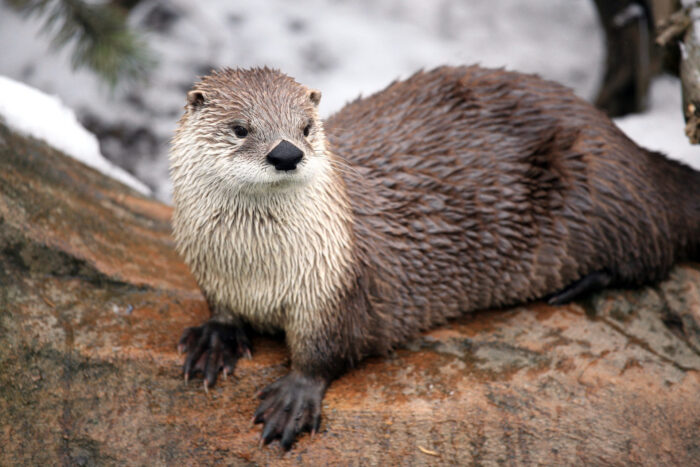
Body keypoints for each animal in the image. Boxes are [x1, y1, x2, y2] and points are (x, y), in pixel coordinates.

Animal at [170, 66, 700, 449]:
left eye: (305, 127)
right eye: (240, 129)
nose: (287, 153)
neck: (255, 270)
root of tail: (628, 146)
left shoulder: (338, 286)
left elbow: (328, 349)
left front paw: (294, 398)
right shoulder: (212, 272)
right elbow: (219, 309)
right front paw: (214, 339)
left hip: (604, 186)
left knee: (652, 249)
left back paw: (578, 285)